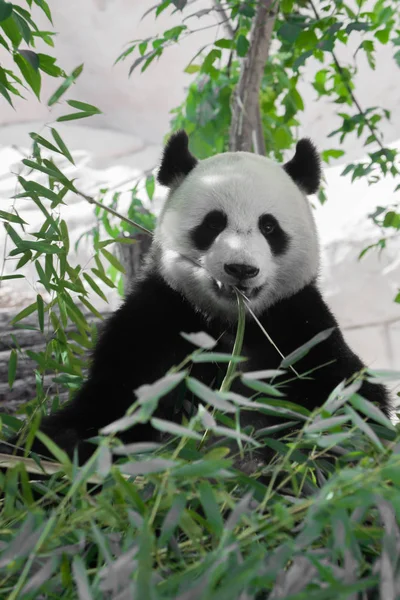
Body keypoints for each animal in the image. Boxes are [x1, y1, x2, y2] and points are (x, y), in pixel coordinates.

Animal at [2, 131, 390, 464]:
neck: (232, 323)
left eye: (269, 227)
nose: (240, 269)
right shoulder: (159, 318)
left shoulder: (299, 326)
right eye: (213, 223)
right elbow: (110, 405)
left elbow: (352, 403)